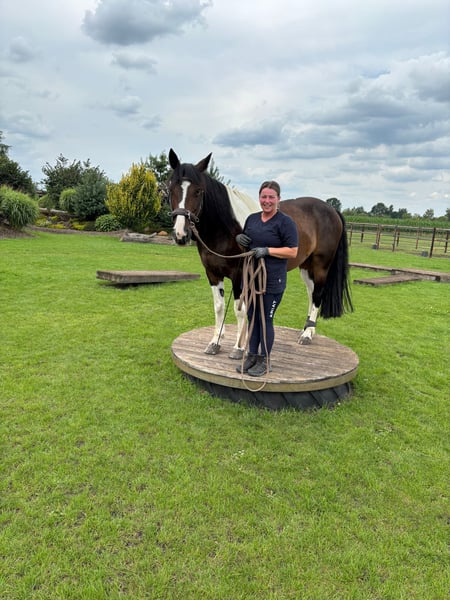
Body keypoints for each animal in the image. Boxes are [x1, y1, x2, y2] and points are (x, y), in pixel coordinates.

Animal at [168, 149, 353, 359]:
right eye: (171, 188)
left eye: (198, 191)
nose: (181, 234)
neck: (225, 228)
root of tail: (332, 210)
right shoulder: (213, 274)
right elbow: (219, 307)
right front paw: (215, 342)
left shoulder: (240, 275)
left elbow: (239, 309)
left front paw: (239, 348)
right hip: (306, 267)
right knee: (311, 292)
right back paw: (307, 330)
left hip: (321, 266)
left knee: (318, 295)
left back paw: (307, 335)